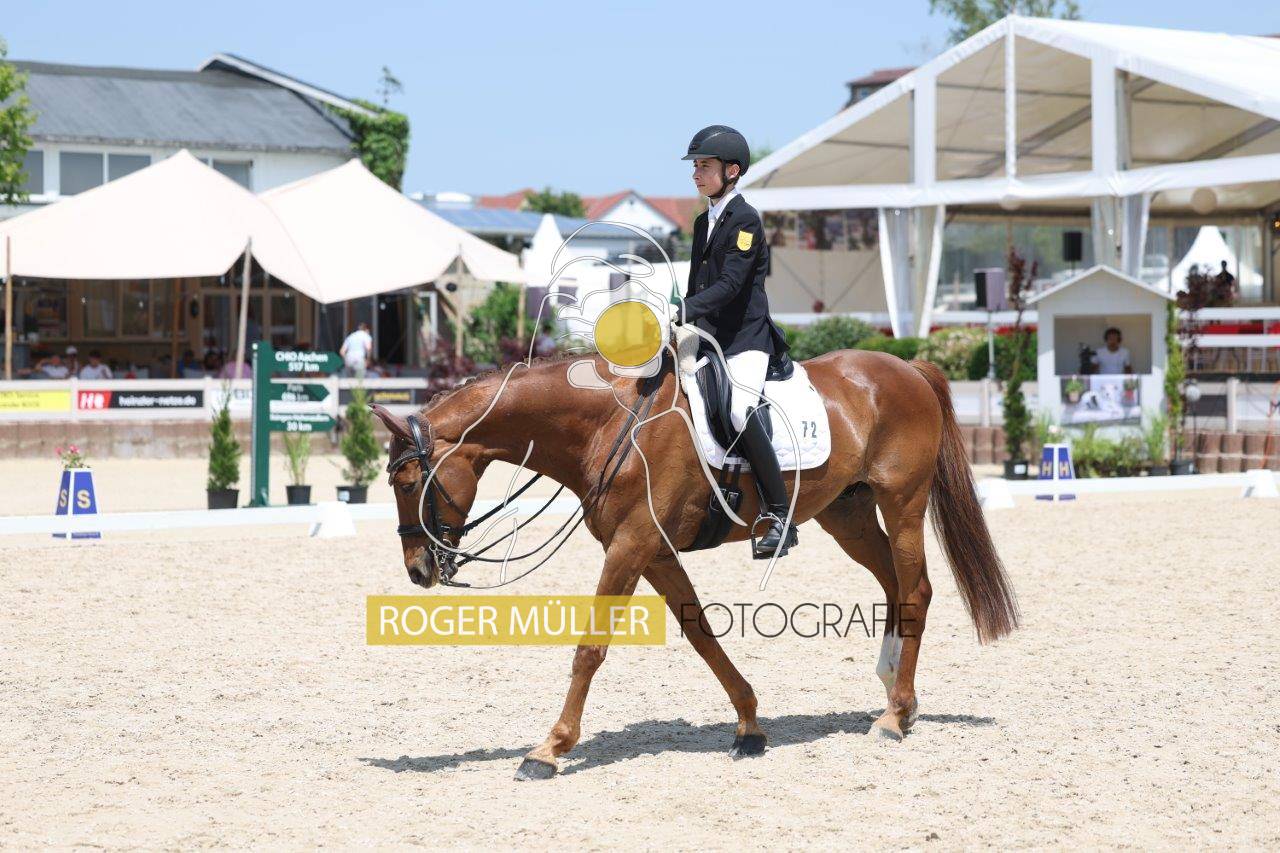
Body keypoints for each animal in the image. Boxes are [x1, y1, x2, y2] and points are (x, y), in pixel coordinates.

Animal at [371, 349, 1019, 780]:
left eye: (407, 481)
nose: (418, 570)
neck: (609, 425)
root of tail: (906, 366)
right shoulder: (652, 551)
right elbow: (701, 634)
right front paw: (750, 725)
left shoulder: (630, 545)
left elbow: (590, 648)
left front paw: (549, 749)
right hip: (848, 512)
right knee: (893, 582)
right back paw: (892, 694)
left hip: (902, 502)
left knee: (915, 589)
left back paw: (894, 714)